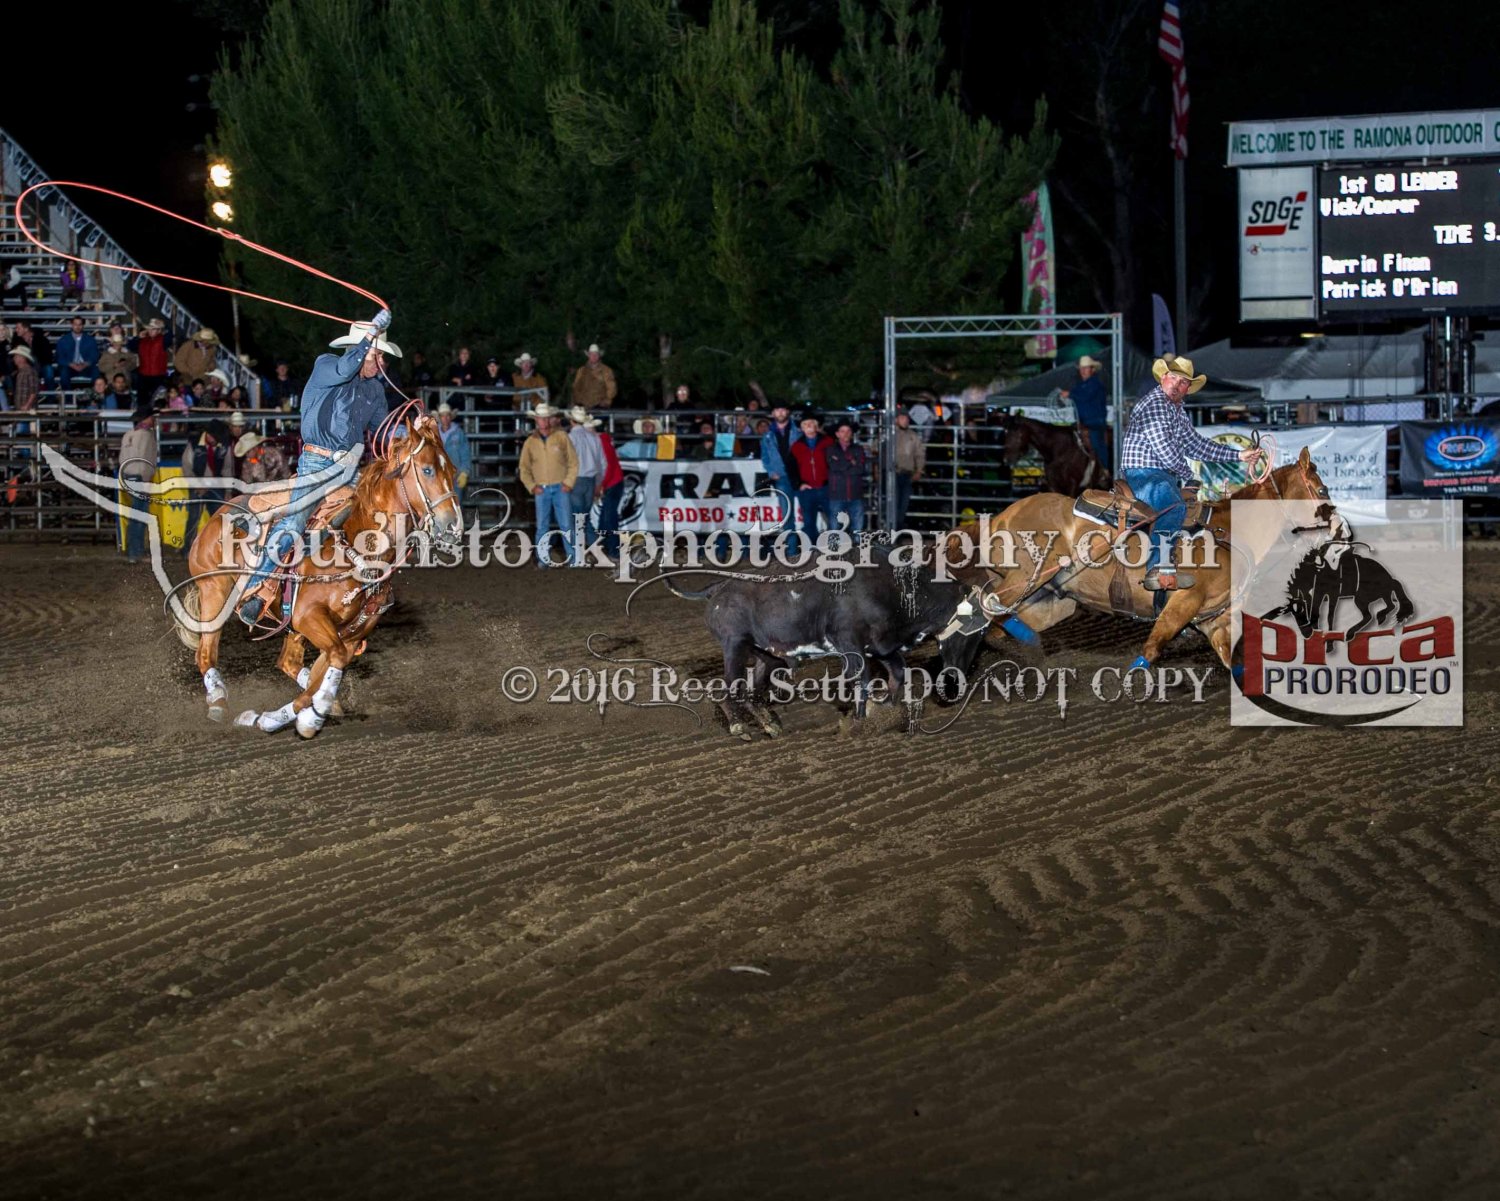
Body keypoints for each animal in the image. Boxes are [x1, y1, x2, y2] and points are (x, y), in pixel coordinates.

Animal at [174, 401, 459, 734]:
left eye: (452, 471)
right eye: (427, 469)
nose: (453, 525)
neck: (356, 543)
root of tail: (217, 514)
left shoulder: (349, 633)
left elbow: (328, 668)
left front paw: (289, 715)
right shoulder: (309, 616)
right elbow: (329, 665)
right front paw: (307, 715)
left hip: (289, 623)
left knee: (288, 662)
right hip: (215, 594)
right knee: (205, 654)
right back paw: (218, 700)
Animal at [948, 446, 1338, 674]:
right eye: (1321, 490)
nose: (1339, 526)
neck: (1229, 533)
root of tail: (1002, 515)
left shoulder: (1215, 620)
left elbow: (1231, 662)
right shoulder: (1184, 600)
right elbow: (1151, 650)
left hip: (1052, 600)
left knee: (999, 621)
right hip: (1028, 577)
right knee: (986, 607)